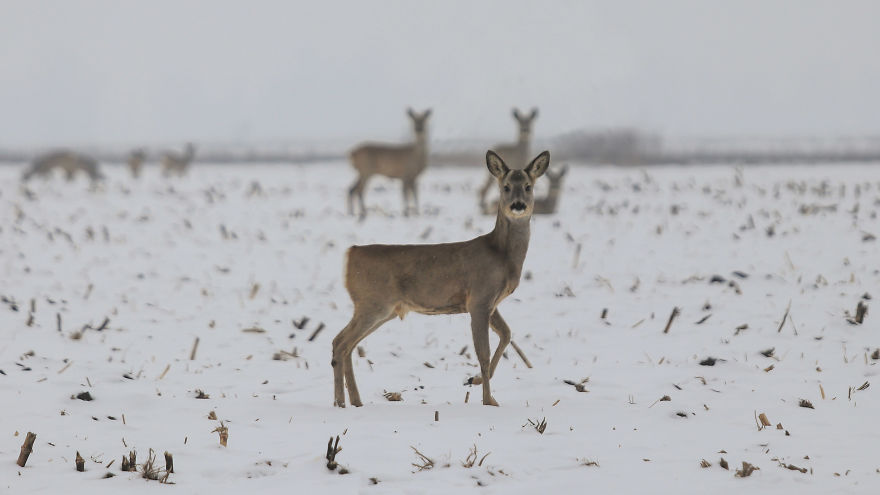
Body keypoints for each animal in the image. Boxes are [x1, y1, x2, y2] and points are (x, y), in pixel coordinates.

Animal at [332, 150, 550, 408]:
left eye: (528, 186)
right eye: (506, 187)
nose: (518, 205)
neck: (501, 255)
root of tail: (351, 253)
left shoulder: (491, 303)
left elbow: (506, 334)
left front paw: (475, 381)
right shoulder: (479, 298)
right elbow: (483, 353)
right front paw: (488, 401)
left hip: (384, 309)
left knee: (344, 343)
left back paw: (354, 401)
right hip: (373, 302)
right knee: (341, 343)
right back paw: (340, 402)